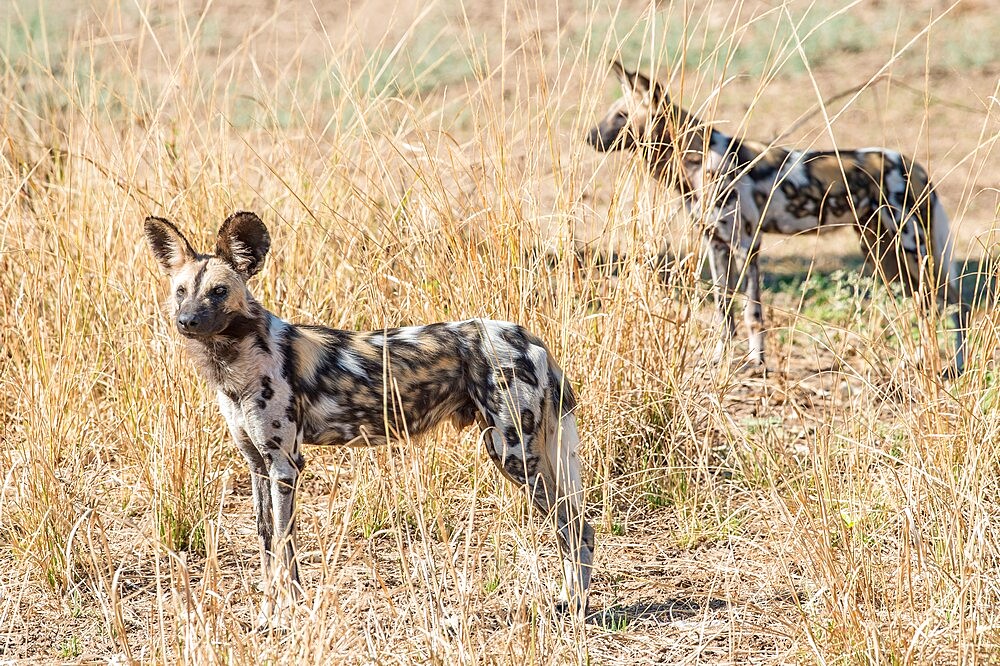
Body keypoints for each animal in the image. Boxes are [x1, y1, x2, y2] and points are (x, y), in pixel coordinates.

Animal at [142, 211, 592, 624]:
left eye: (218, 292)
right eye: (181, 292)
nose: (186, 321)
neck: (234, 362)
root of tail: (528, 338)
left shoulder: (285, 465)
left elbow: (286, 544)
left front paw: (289, 613)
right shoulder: (257, 464)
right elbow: (267, 539)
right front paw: (269, 612)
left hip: (514, 456)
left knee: (576, 526)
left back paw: (576, 606)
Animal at [584, 61, 968, 374]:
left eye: (621, 116)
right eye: (612, 112)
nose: (588, 136)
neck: (696, 159)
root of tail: (915, 167)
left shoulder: (746, 245)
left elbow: (753, 313)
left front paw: (756, 362)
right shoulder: (716, 246)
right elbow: (723, 313)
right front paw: (720, 359)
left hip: (911, 249)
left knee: (953, 304)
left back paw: (955, 366)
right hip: (882, 255)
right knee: (924, 306)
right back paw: (915, 360)